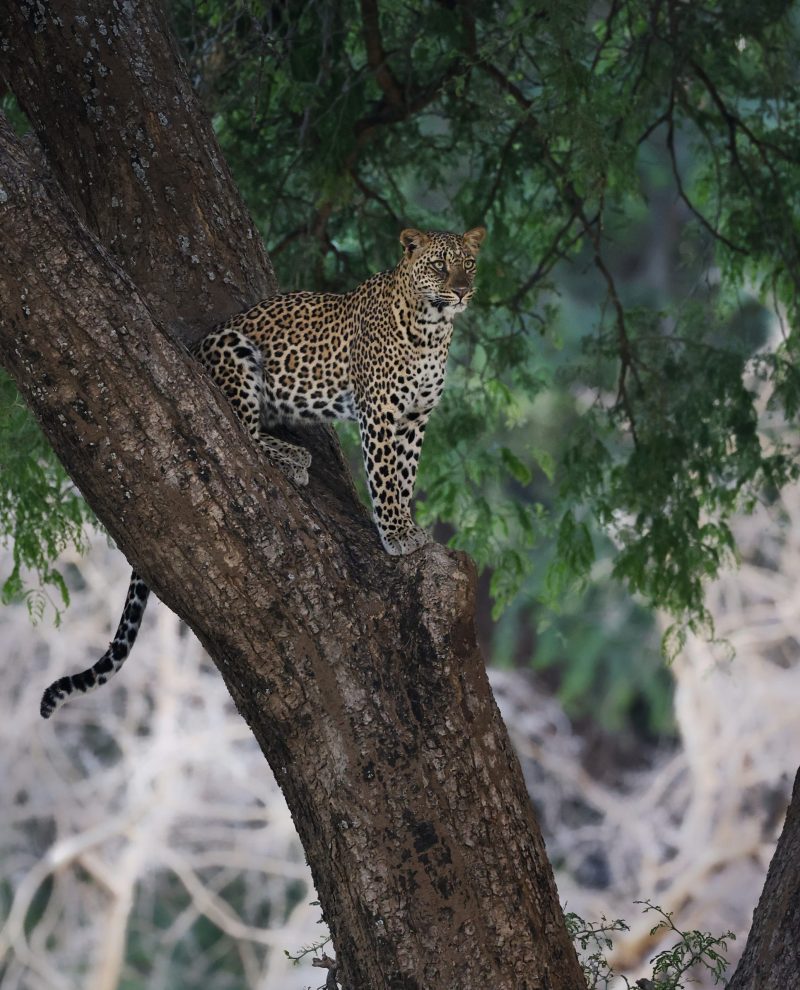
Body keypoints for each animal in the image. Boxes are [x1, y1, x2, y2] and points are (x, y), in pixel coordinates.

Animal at [40, 225, 486, 718]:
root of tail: (194, 349)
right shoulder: (382, 411)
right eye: (439, 266)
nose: (462, 290)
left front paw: (407, 525)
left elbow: (405, 476)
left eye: (468, 263)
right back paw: (294, 459)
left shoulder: (415, 417)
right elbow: (386, 475)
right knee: (241, 428)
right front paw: (396, 533)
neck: (433, 328)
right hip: (235, 355)